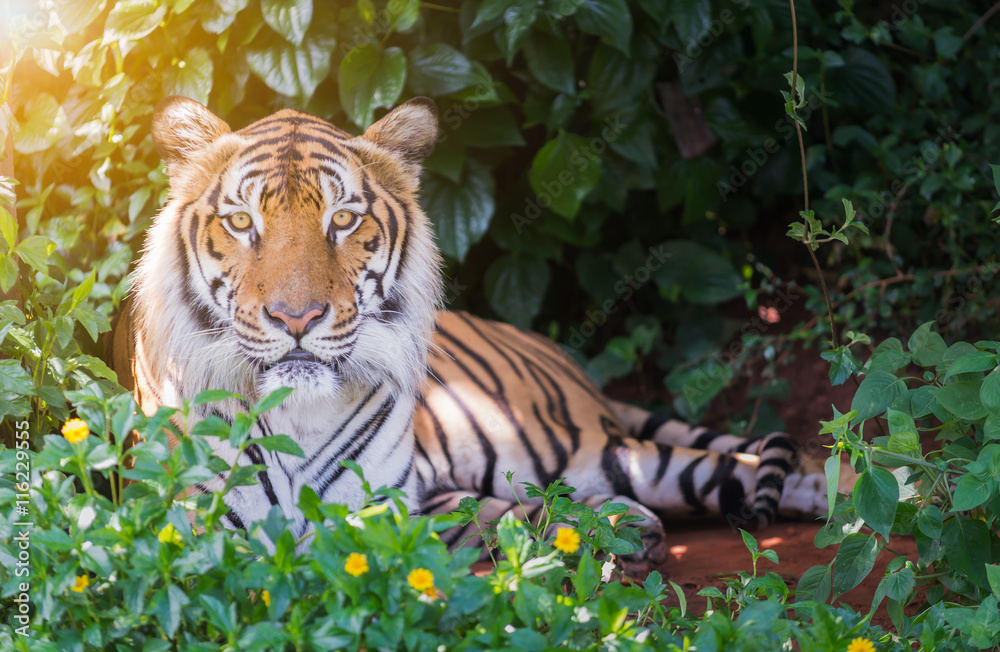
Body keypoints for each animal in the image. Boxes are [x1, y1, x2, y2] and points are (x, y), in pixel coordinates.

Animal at [109, 95, 827, 562]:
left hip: (576, 447)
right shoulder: (196, 529)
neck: (298, 414)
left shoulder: (384, 510)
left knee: (774, 464)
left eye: (342, 220)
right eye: (241, 222)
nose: (296, 318)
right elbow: (500, 517)